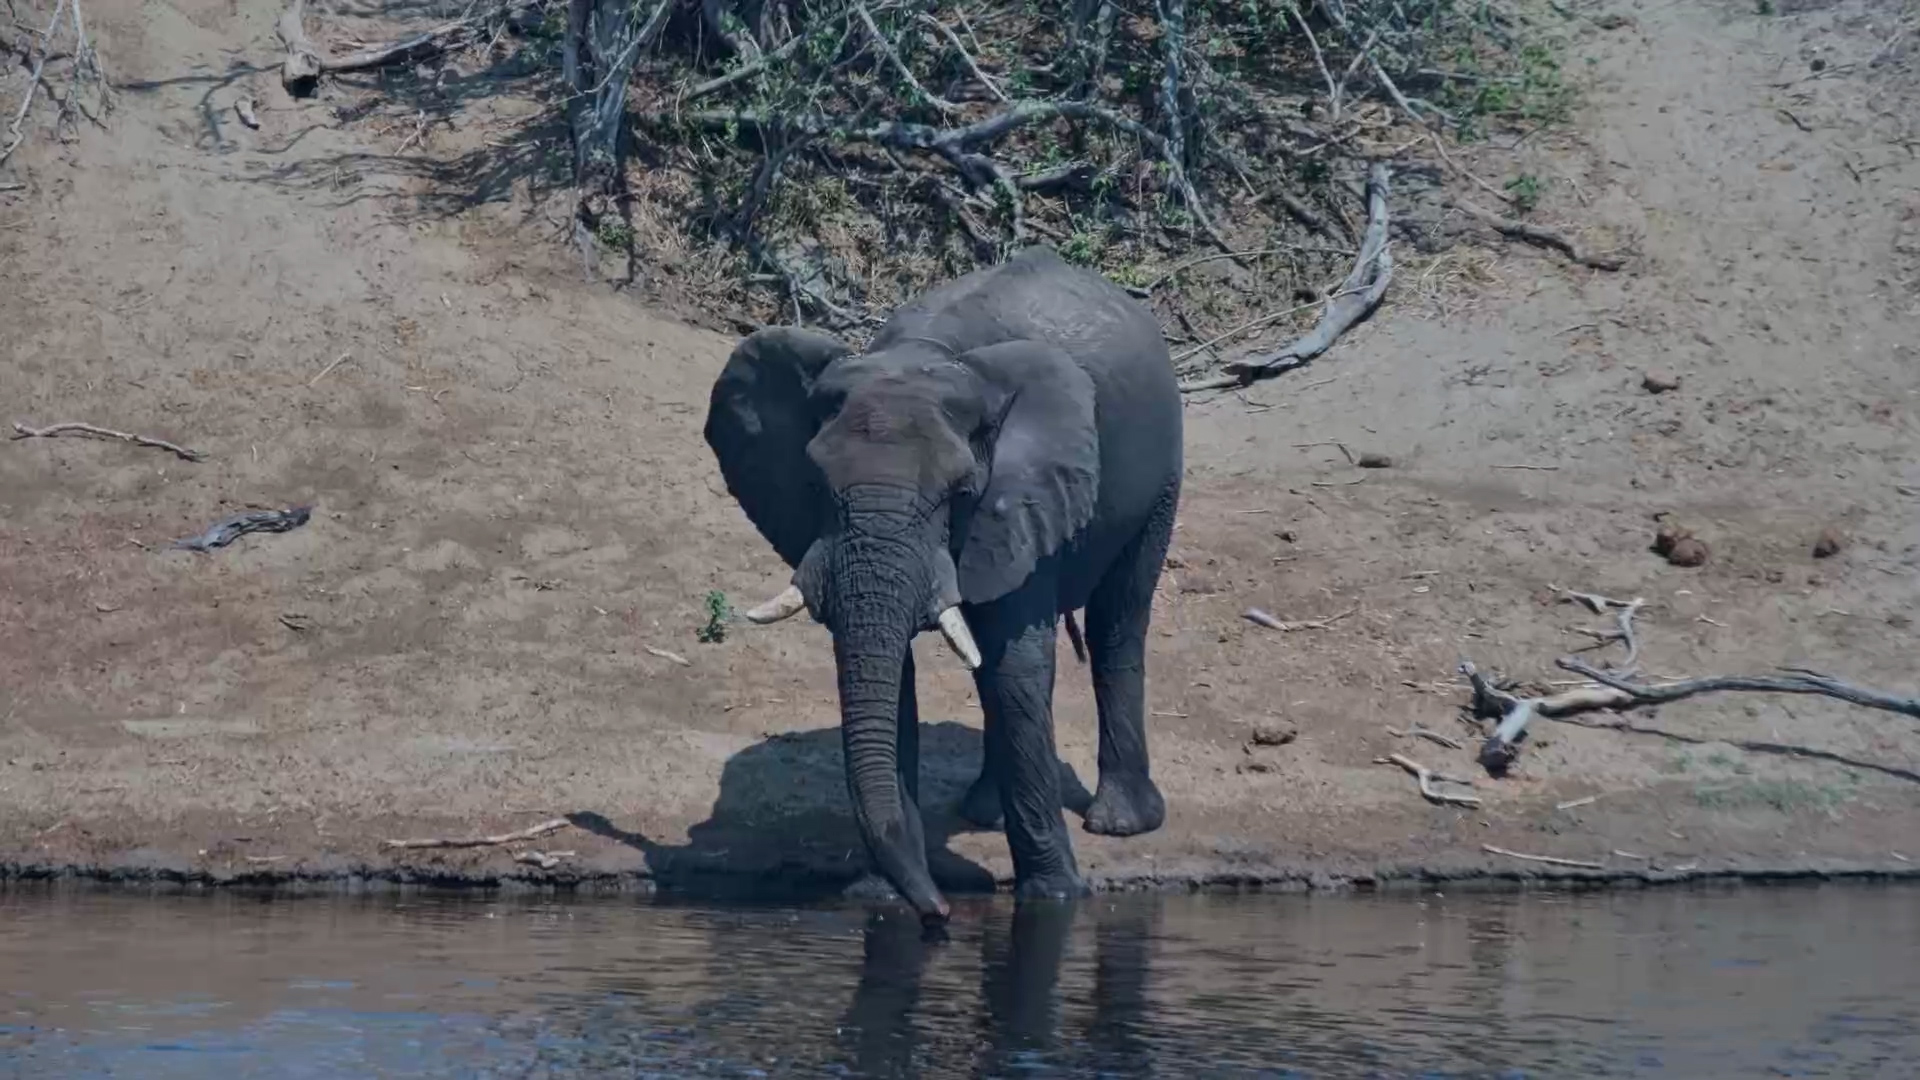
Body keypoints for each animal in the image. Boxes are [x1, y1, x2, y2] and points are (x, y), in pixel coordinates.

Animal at [703, 245, 1183, 924]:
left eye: (959, 493)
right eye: (817, 485)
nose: (941, 913)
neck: (926, 358)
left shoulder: (1021, 493)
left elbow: (1016, 665)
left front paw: (1057, 899)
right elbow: (895, 677)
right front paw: (880, 900)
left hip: (1163, 469)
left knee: (1119, 620)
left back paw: (1119, 822)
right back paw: (982, 811)